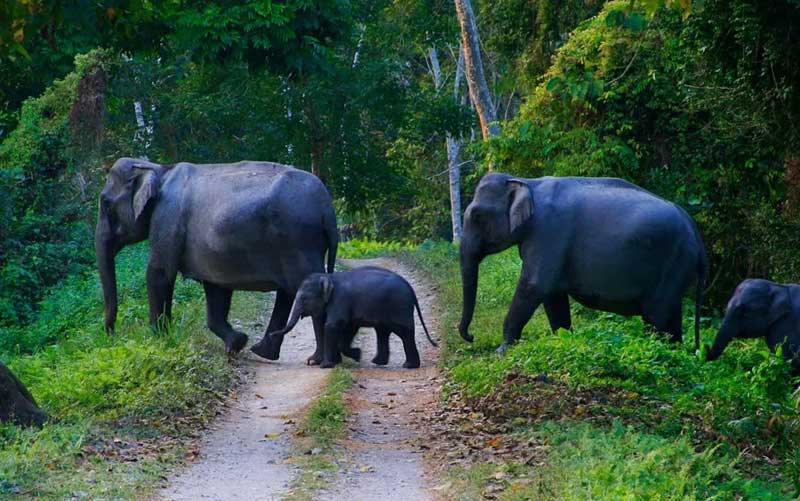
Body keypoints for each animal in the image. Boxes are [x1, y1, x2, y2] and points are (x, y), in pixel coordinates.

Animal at [96, 156, 338, 360]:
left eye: (105, 203)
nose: (111, 336)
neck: (158, 169)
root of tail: (327, 207)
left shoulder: (167, 217)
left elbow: (159, 272)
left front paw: (159, 341)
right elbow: (215, 288)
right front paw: (236, 344)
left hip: (298, 241)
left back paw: (317, 360)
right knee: (289, 292)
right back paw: (263, 352)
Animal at [264, 266, 438, 368]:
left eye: (304, 298)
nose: (271, 334)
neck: (329, 277)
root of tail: (411, 290)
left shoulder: (340, 300)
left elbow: (333, 325)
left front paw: (326, 366)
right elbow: (349, 327)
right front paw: (357, 355)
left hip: (398, 308)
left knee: (404, 333)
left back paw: (408, 365)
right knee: (383, 331)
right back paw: (378, 362)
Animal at [460, 174, 708, 354]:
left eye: (477, 216)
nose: (471, 337)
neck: (528, 182)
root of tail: (694, 230)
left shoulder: (549, 232)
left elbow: (534, 285)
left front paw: (501, 351)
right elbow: (553, 296)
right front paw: (563, 340)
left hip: (674, 262)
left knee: (656, 316)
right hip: (678, 268)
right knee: (672, 316)